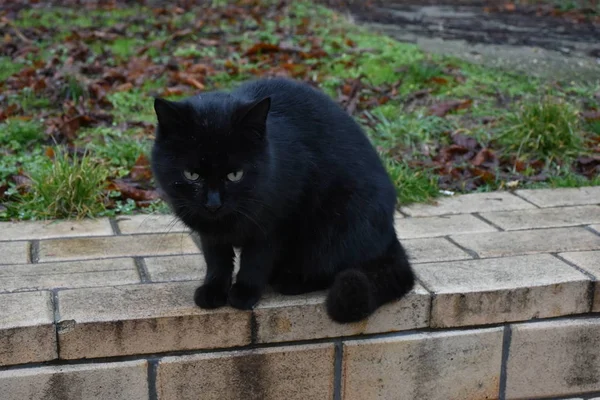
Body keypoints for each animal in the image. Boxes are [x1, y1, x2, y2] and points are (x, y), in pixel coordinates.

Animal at [150, 76, 414, 324]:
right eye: (191, 175)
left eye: (235, 175)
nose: (213, 203)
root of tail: (390, 235)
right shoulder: (210, 232)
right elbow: (217, 260)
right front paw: (213, 291)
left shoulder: (274, 224)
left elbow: (256, 259)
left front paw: (244, 293)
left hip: (333, 228)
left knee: (329, 266)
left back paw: (290, 280)